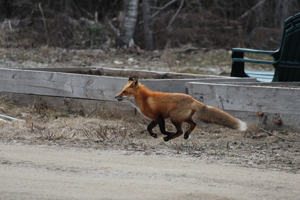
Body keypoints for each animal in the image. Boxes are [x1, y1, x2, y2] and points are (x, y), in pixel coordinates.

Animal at [115, 77, 246, 141]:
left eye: (124, 92)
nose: (115, 96)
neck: (144, 99)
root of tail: (192, 99)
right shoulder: (155, 118)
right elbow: (148, 128)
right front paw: (153, 135)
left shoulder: (160, 117)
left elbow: (162, 130)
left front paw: (167, 133)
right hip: (184, 118)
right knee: (193, 125)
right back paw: (187, 135)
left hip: (174, 118)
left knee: (180, 131)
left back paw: (169, 138)